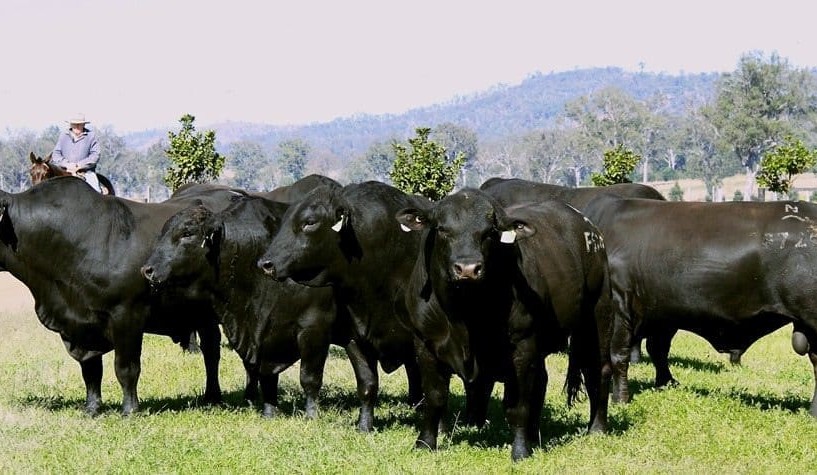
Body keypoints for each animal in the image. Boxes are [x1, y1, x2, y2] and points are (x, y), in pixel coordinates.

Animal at [0, 177, 249, 415]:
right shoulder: (81, 328)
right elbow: (91, 371)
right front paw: (92, 408)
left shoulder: (127, 315)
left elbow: (126, 368)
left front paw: (130, 409)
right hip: (203, 314)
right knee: (211, 350)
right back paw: (212, 397)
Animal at [141, 196, 374, 426]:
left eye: (187, 233)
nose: (147, 269)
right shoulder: (263, 339)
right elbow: (265, 376)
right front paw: (268, 412)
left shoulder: (314, 328)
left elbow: (309, 378)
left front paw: (311, 416)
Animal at [394, 188, 614, 461]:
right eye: (442, 229)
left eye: (490, 231)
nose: (468, 268)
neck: (465, 314)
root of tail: (588, 227)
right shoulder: (424, 344)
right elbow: (434, 397)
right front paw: (424, 443)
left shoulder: (522, 346)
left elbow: (517, 405)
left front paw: (520, 451)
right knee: (543, 381)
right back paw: (535, 435)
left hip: (598, 315)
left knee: (598, 370)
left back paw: (597, 428)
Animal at [582, 195, 817, 417]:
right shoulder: (664, 314)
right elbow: (658, 350)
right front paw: (666, 383)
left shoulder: (620, 306)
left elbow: (618, 355)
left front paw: (620, 398)